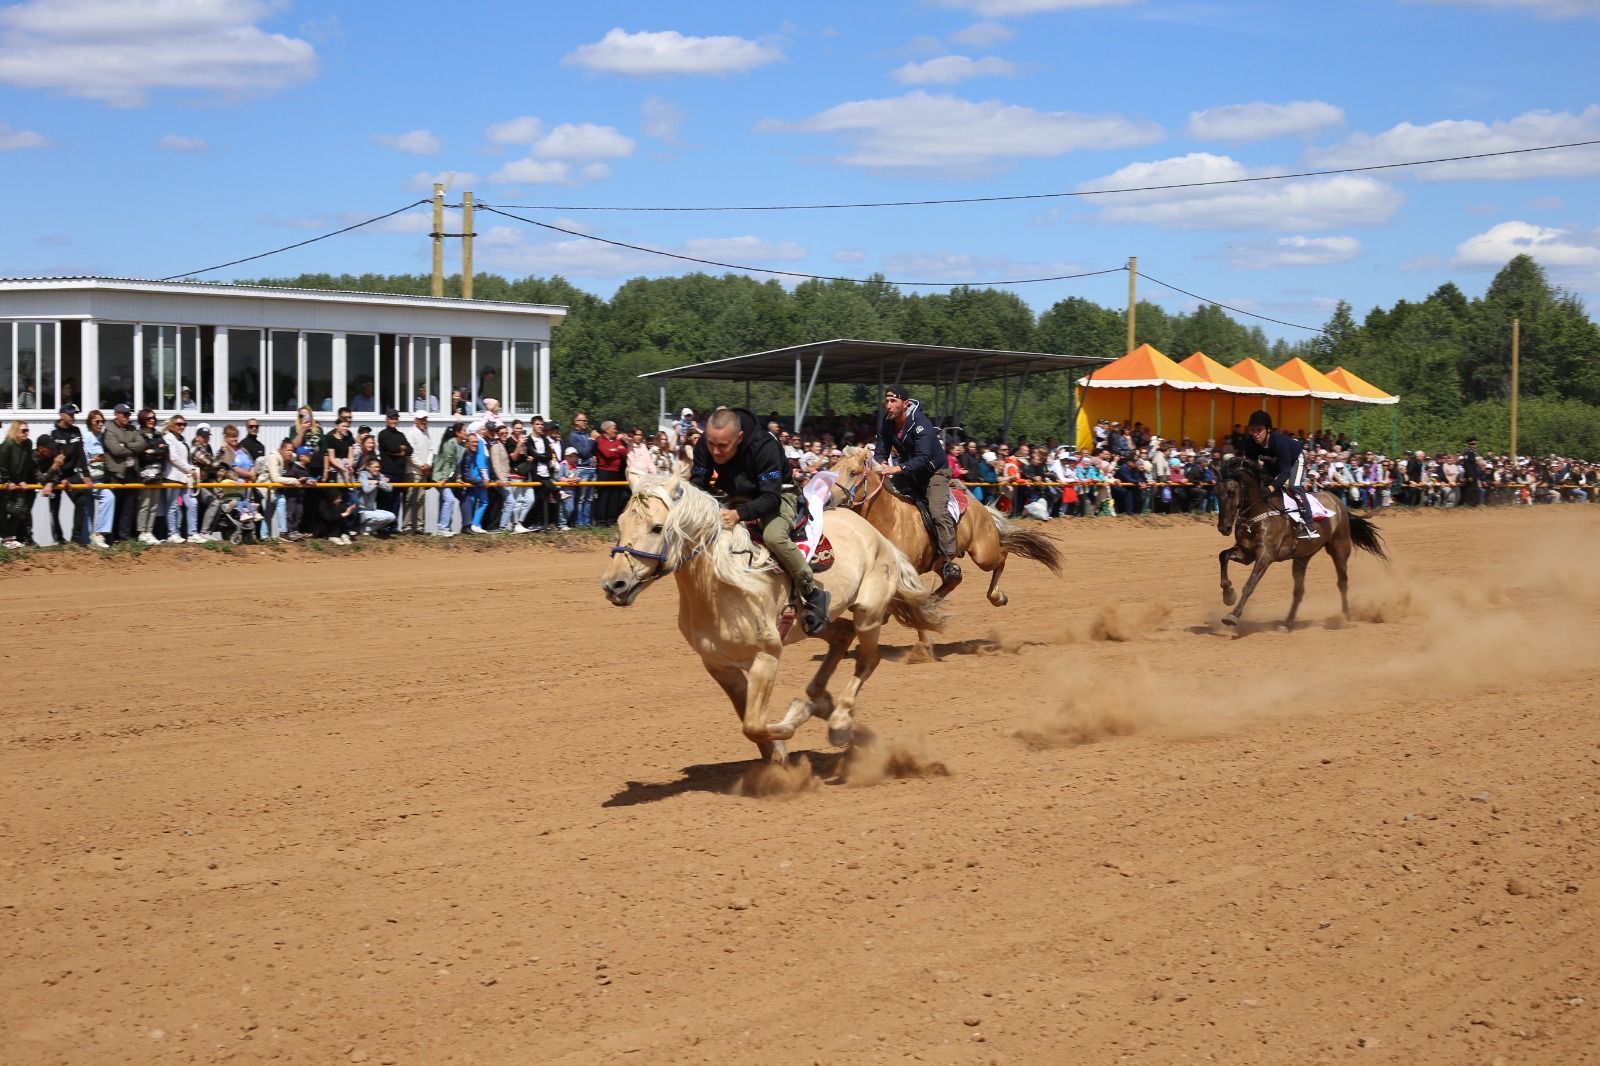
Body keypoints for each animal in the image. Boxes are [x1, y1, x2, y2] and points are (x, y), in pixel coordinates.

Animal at [604, 470, 940, 758]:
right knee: (843, 635)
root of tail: (879, 537)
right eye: (620, 523)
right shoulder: (719, 665)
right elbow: (751, 725)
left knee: (868, 660)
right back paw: (822, 702)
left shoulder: (766, 657)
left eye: (657, 527)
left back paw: (840, 723)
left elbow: (753, 724)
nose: (613, 584)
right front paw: (779, 760)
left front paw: (799, 713)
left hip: (869, 612)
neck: (716, 586)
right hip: (813, 622)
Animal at [825, 438, 1062, 656]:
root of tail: (982, 507)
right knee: (954, 579)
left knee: (1002, 557)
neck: (890, 519)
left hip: (984, 554)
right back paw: (934, 601)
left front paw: (922, 648)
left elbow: (910, 603)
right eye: (832, 470)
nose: (827, 500)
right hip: (942, 562)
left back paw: (996, 596)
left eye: (853, 472)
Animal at [1209, 451, 1388, 627]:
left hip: (1339, 549)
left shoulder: (1265, 555)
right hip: (1302, 556)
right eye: (1216, 493)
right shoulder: (1247, 553)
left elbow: (1250, 584)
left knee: (1342, 582)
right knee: (1299, 590)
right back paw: (1287, 623)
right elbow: (1223, 555)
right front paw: (1228, 594)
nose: (1223, 528)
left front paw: (1232, 615)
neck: (1259, 511)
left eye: (1231, 492)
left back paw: (1345, 617)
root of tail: (1340, 504)